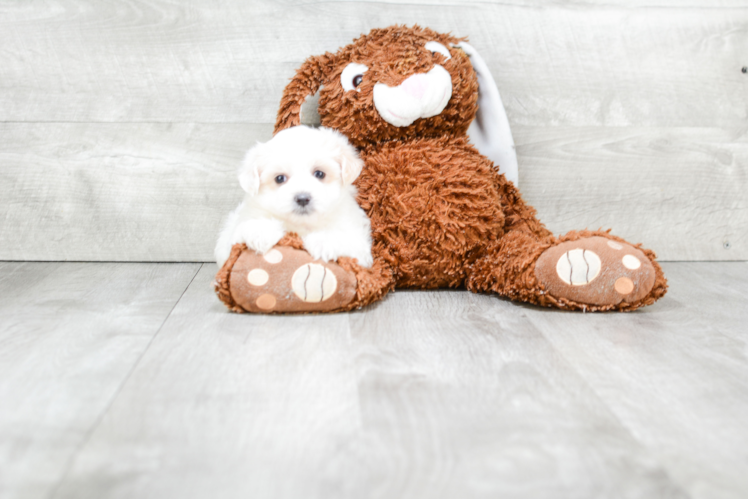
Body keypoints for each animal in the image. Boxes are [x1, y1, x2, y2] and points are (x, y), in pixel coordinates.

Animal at [215, 125, 372, 270]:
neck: (301, 225)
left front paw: (324, 241)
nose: (302, 198)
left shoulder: (360, 246)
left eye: (319, 174)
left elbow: (347, 240)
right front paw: (260, 231)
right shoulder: (231, 240)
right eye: (279, 178)